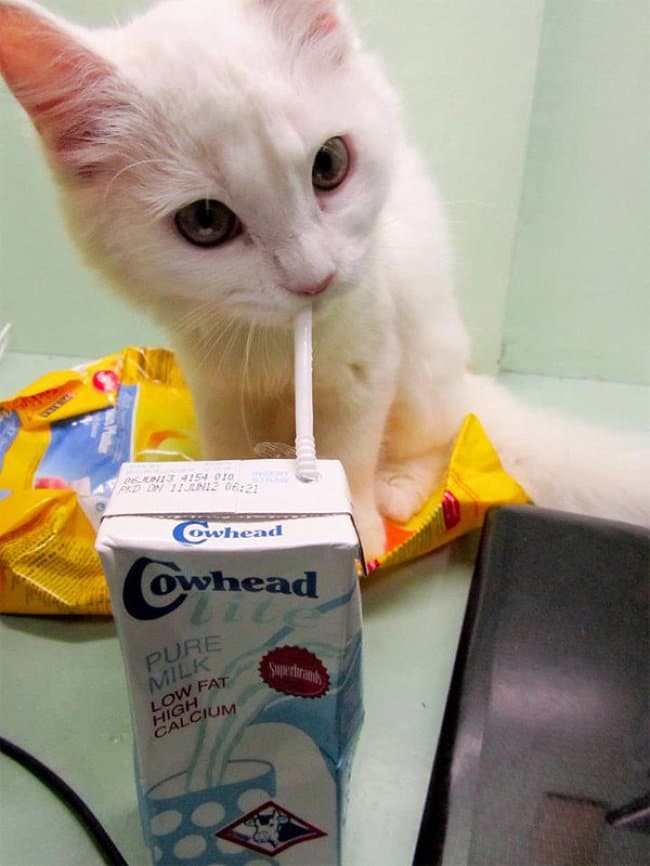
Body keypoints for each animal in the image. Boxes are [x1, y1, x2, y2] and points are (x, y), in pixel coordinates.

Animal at [0, 0, 644, 552]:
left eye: (330, 164)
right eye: (204, 221)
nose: (314, 278)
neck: (274, 343)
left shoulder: (366, 365)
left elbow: (350, 453)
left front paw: (359, 528)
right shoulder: (215, 382)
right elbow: (231, 452)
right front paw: (222, 510)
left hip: (426, 364)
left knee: (446, 433)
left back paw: (403, 489)